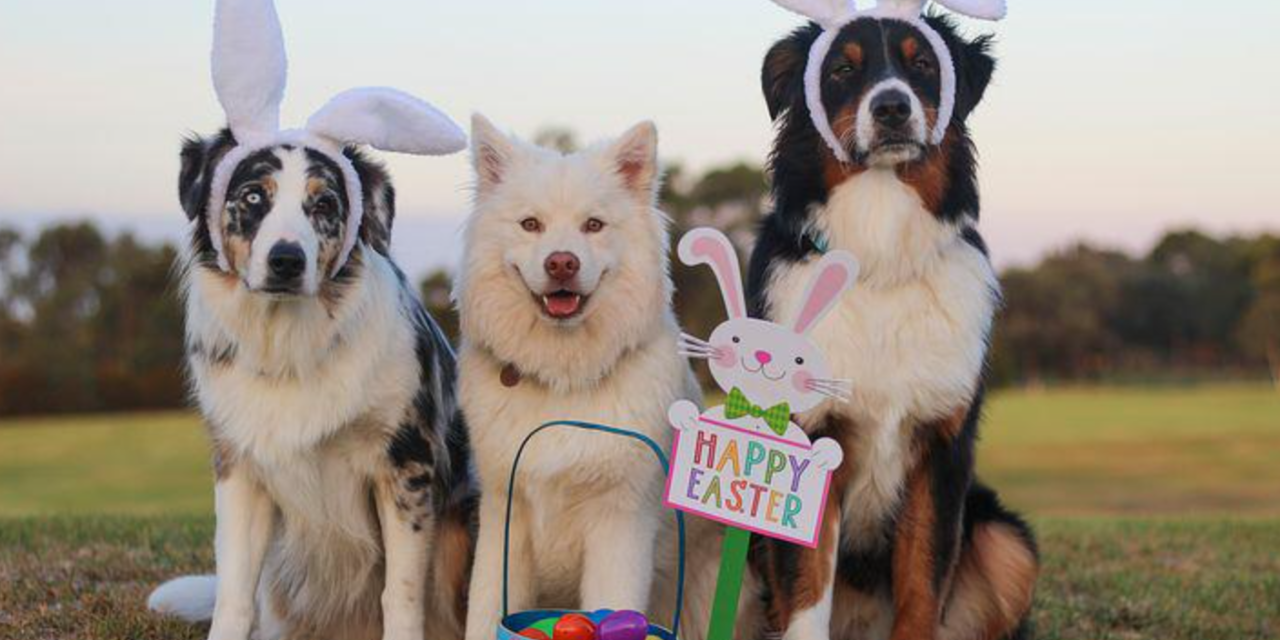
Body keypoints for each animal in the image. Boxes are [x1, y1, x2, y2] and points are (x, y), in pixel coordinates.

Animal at [458, 115, 706, 640]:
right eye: (530, 224)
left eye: (593, 225)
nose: (561, 262)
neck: (563, 378)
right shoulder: (503, 517)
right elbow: (485, 611)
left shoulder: (619, 524)